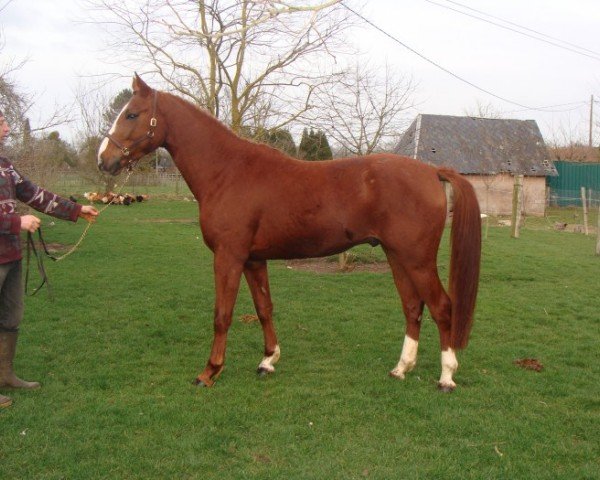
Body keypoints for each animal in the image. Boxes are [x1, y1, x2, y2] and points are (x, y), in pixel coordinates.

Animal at [98, 74, 482, 390]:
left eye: (131, 114)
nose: (104, 160)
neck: (228, 171)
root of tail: (432, 171)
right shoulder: (253, 260)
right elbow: (264, 308)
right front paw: (268, 360)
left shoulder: (228, 257)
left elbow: (222, 315)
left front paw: (210, 371)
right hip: (396, 256)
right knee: (412, 307)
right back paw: (401, 369)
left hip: (417, 259)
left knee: (442, 307)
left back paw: (446, 377)